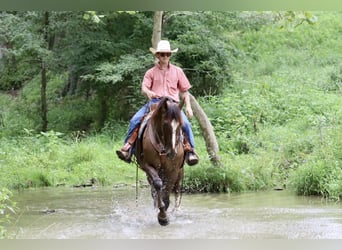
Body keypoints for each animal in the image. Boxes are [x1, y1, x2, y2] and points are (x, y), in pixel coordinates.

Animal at [135, 96, 186, 226]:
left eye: (181, 124)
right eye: (165, 124)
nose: (172, 152)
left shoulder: (173, 170)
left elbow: (167, 191)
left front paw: (164, 212)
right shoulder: (148, 165)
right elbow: (158, 184)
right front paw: (162, 216)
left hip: (179, 171)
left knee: (177, 187)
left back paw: (176, 210)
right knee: (154, 187)